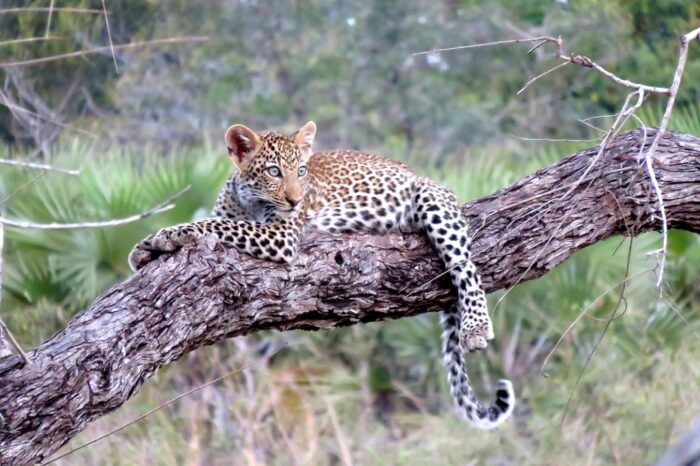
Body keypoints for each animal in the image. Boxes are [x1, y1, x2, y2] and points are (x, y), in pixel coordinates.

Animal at [129, 121, 515, 429]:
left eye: (301, 171)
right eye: (273, 171)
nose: (296, 201)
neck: (249, 202)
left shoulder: (281, 235)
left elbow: (218, 225)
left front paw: (166, 235)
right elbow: (218, 220)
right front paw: (145, 248)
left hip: (432, 200)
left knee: (466, 266)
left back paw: (476, 327)